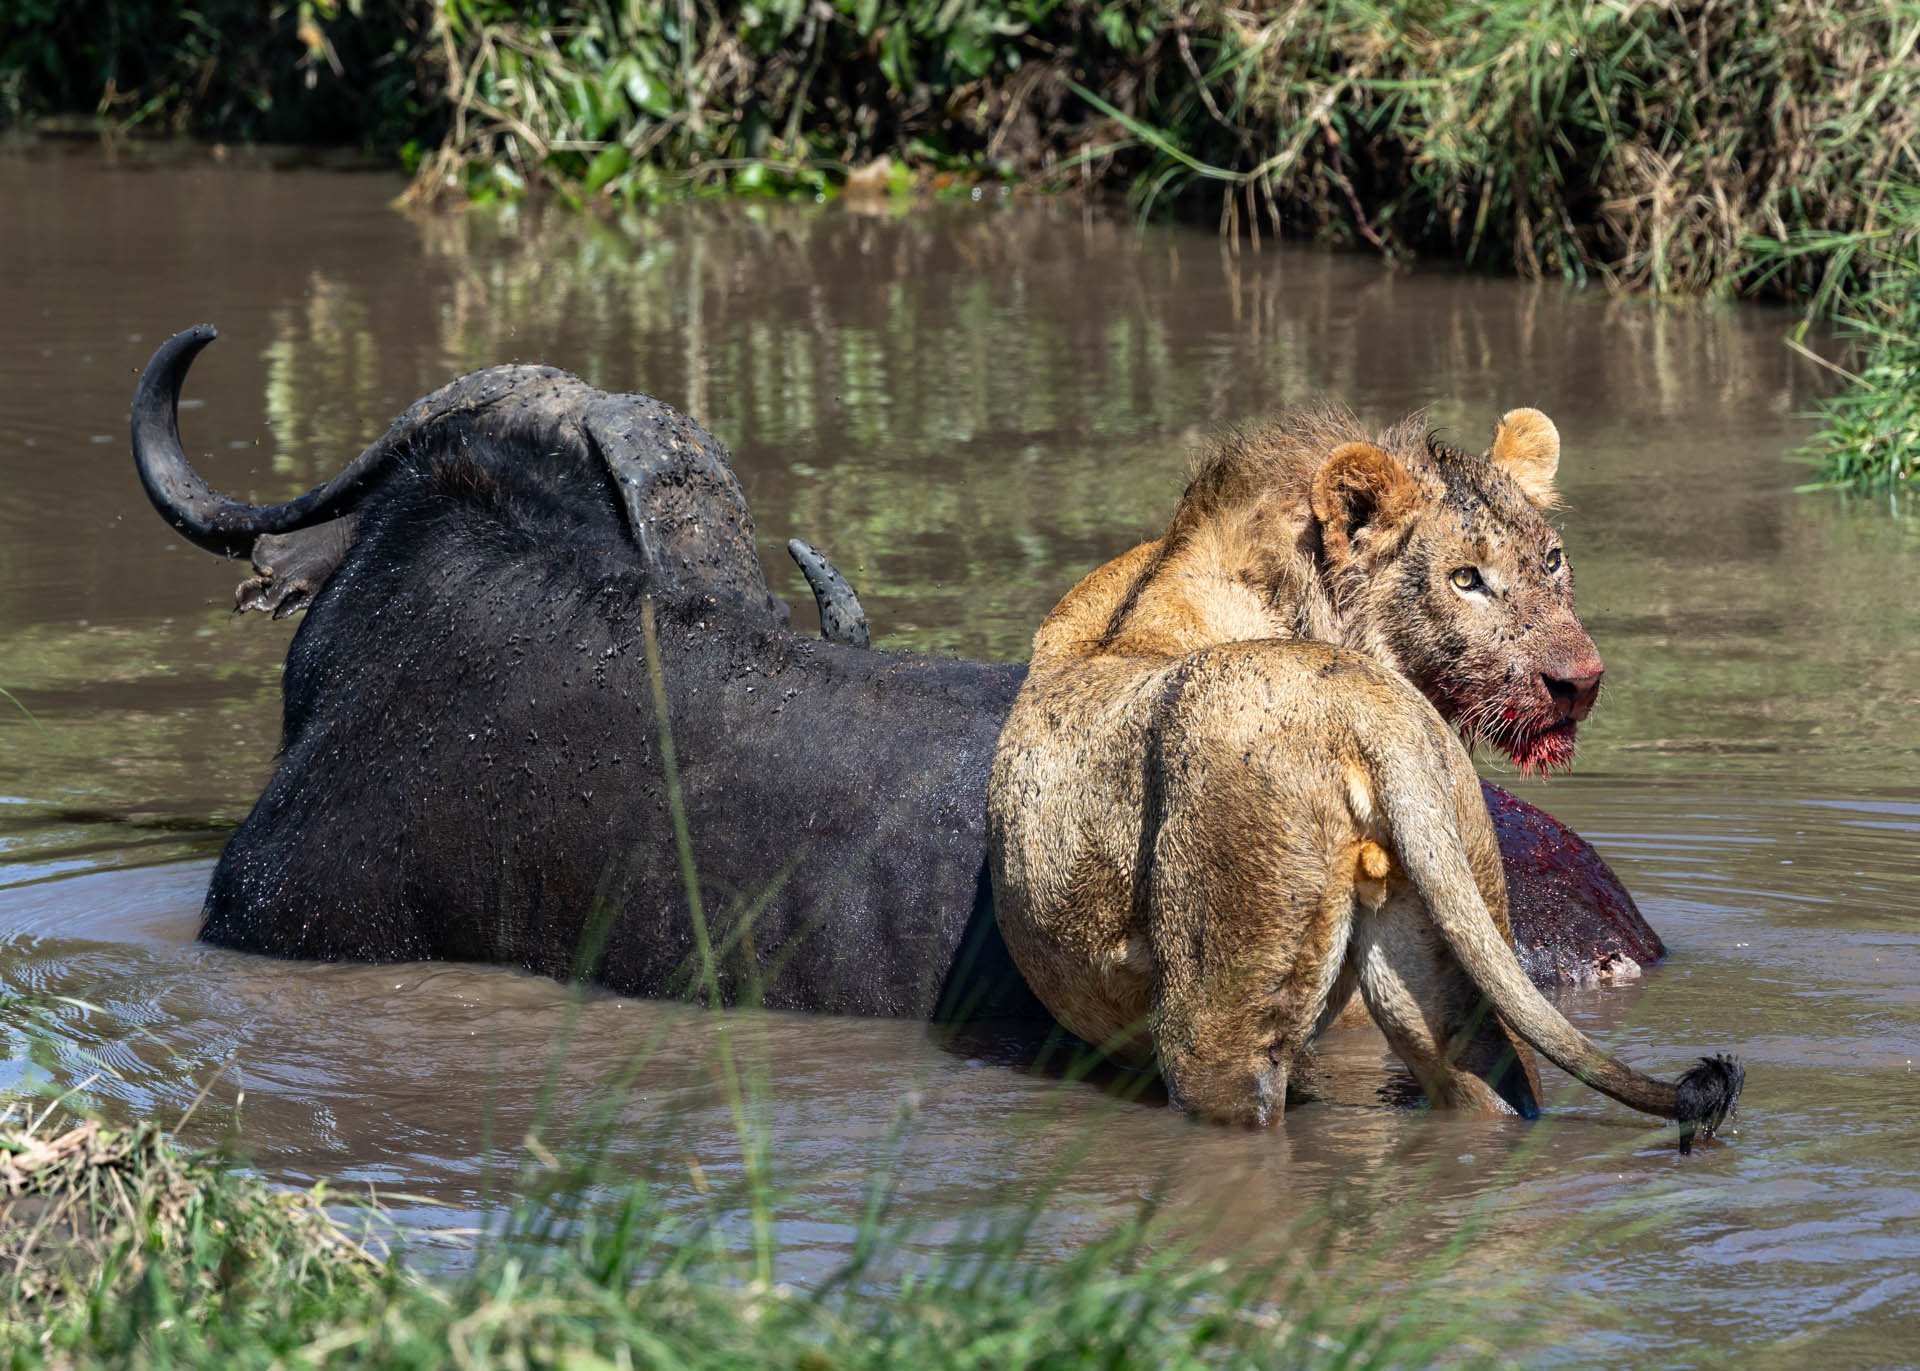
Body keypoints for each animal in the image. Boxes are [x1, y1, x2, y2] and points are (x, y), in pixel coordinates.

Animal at [983, 405, 1751, 1144]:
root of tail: (1367, 703)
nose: (1579, 683)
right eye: (1465, 578)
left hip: (1219, 1002)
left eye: (1553, 561)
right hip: (1448, 952)